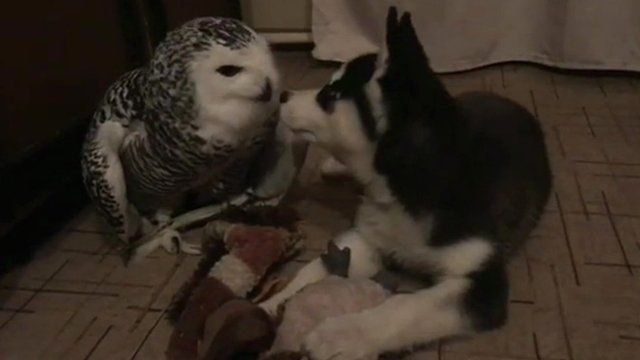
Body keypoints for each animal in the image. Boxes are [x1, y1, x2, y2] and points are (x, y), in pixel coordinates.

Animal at [262, 6, 552, 360]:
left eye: (329, 95)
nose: (282, 95)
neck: (402, 182)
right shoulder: (366, 237)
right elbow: (312, 270)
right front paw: (268, 305)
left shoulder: (483, 282)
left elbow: (407, 306)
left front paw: (341, 334)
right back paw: (333, 166)